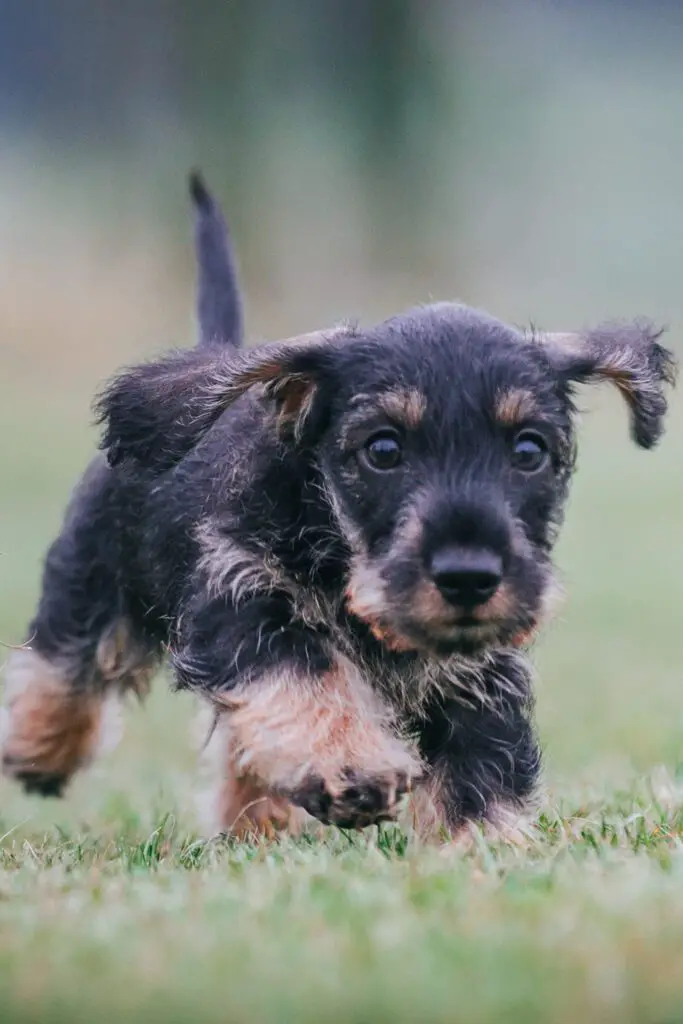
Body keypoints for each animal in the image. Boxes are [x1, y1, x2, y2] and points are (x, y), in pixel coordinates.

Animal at [0, 176, 675, 839]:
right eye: (383, 448)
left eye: (530, 450)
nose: (469, 578)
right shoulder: (244, 602)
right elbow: (306, 679)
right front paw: (352, 766)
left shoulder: (480, 676)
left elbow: (482, 767)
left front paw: (481, 851)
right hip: (90, 573)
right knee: (63, 665)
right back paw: (39, 749)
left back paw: (257, 822)